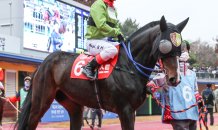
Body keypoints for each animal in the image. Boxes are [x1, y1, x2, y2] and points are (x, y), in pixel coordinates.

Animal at [15, 15, 189, 129]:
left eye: (180, 47)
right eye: (165, 45)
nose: (174, 78)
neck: (129, 65)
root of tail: (43, 63)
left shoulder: (131, 111)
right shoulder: (125, 110)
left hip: (73, 104)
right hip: (41, 102)